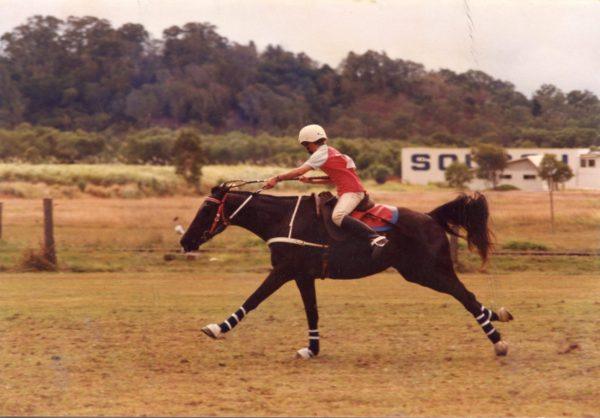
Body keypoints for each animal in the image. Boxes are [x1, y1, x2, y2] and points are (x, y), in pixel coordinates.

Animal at [180, 182, 514, 359]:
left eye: (206, 209)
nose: (184, 242)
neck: (283, 219)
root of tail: (430, 217)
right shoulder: (302, 275)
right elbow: (312, 312)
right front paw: (311, 349)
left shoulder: (283, 271)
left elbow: (253, 299)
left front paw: (217, 327)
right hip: (418, 272)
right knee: (469, 296)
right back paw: (498, 315)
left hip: (430, 271)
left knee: (465, 296)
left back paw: (498, 340)